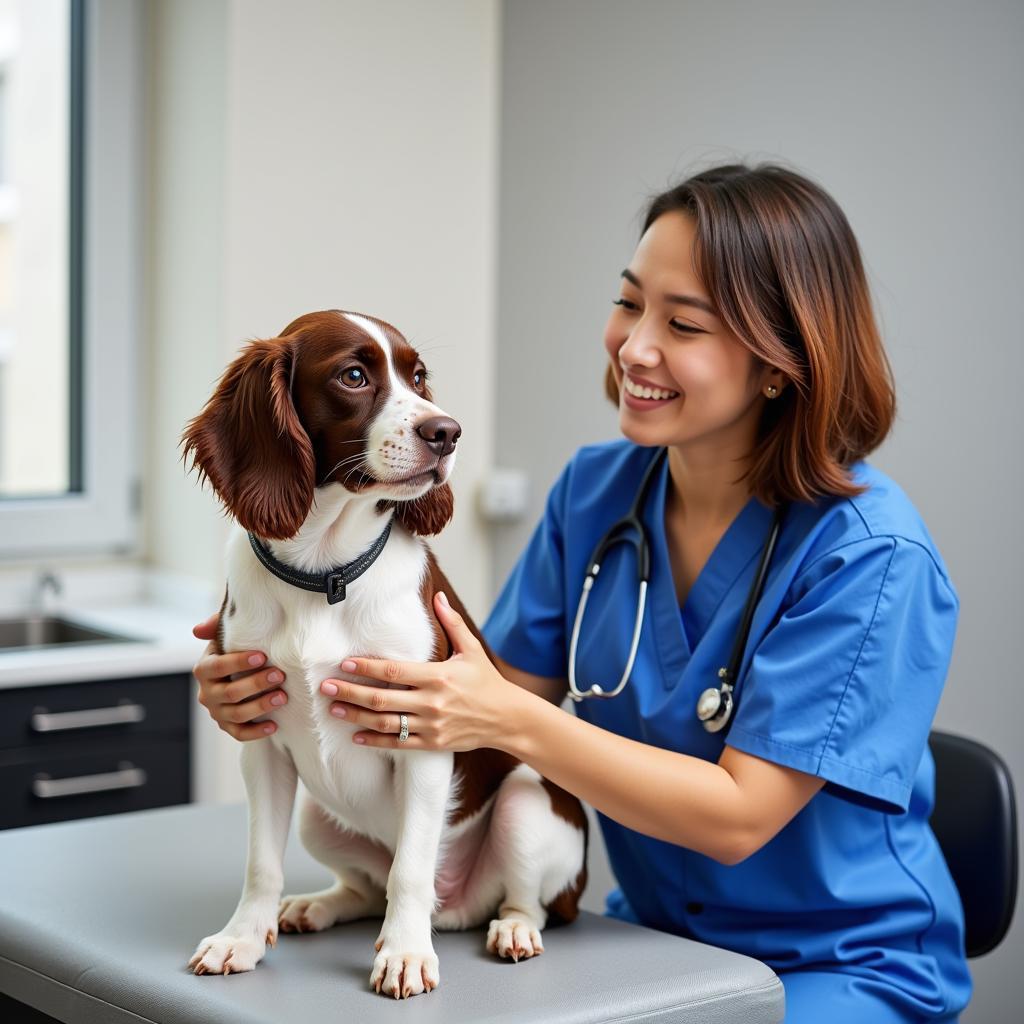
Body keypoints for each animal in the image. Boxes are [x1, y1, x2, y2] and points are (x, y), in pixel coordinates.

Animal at [180, 311, 589, 999]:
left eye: (418, 377)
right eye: (353, 375)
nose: (447, 432)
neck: (324, 573)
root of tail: (456, 909)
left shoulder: (425, 736)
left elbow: (410, 871)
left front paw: (404, 955)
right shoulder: (259, 738)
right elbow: (262, 863)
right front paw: (242, 937)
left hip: (527, 803)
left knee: (522, 898)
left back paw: (508, 929)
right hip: (316, 817)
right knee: (366, 889)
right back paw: (315, 905)